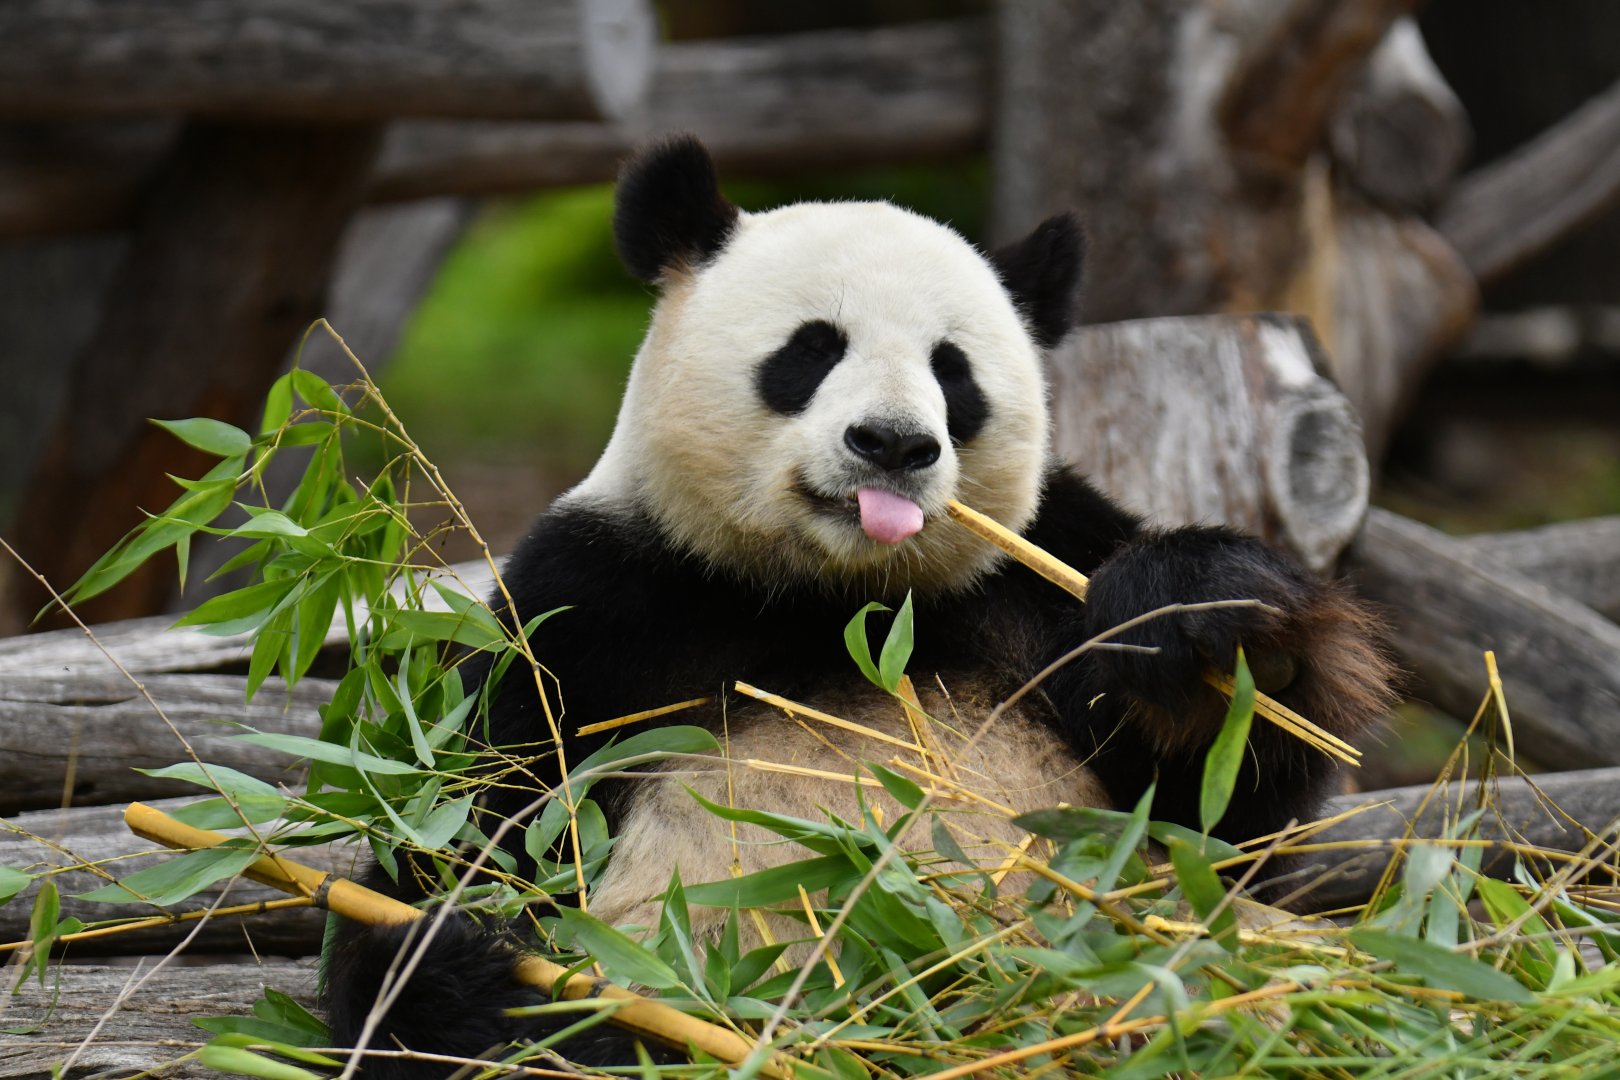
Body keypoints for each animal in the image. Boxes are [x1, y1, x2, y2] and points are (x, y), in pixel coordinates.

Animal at [327, 135, 1393, 1075]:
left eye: (953, 371)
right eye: (811, 350)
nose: (892, 444)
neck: (835, 596)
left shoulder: (1037, 571)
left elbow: (1217, 826)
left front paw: (1199, 622)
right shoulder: (598, 609)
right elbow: (483, 818)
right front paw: (444, 965)